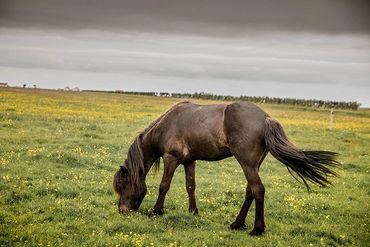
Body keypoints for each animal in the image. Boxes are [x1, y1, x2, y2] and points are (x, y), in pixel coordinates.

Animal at [113, 101, 338, 235]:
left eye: (123, 185)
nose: (122, 211)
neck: (167, 126)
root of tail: (265, 117)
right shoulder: (189, 161)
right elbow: (190, 186)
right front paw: (193, 211)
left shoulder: (172, 158)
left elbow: (164, 186)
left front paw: (157, 211)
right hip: (254, 165)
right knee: (250, 191)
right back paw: (237, 224)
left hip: (247, 163)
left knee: (258, 190)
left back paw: (257, 229)